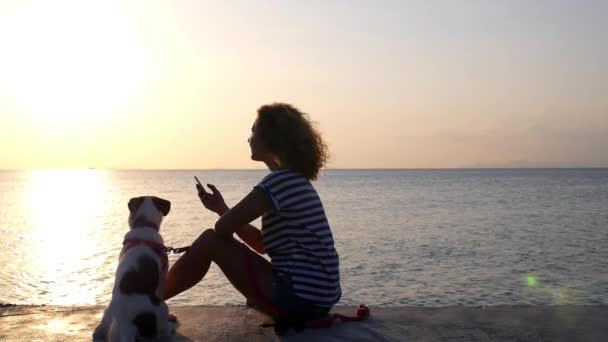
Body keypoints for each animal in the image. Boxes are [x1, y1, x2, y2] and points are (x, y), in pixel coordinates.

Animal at [92, 196, 175, 340]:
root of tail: (127, 325)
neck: (144, 225)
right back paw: (169, 328)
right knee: (162, 330)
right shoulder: (163, 277)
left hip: (111, 323)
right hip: (162, 308)